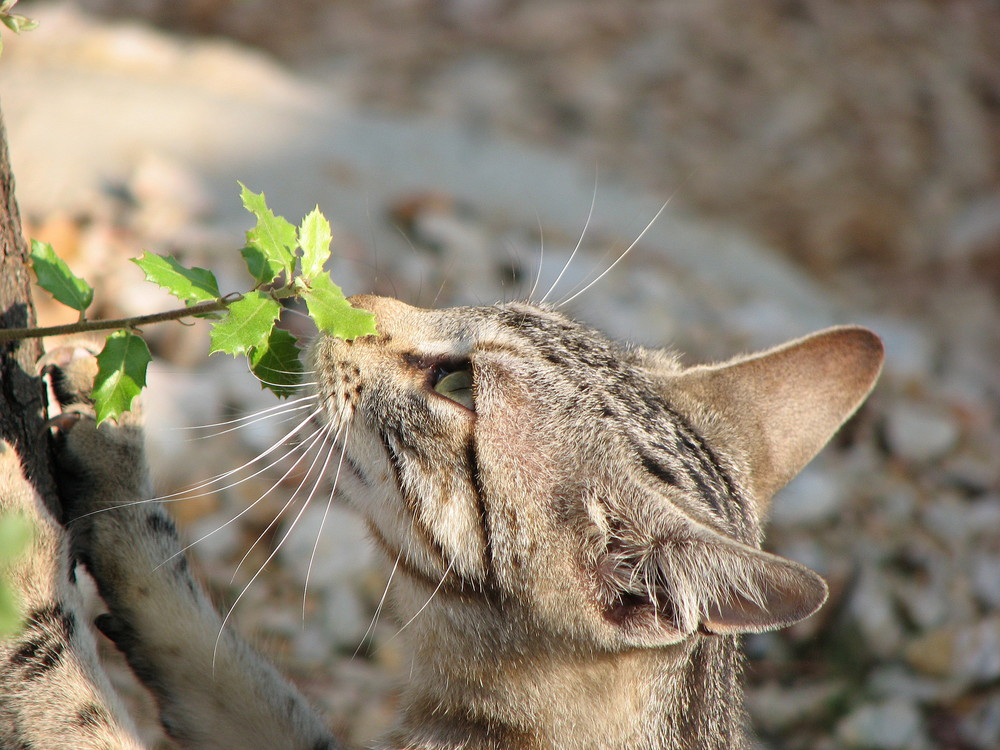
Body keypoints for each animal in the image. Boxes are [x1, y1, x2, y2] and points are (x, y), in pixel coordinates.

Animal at [0, 296, 884, 750]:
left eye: (458, 384)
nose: (352, 299)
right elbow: (215, 657)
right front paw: (114, 464)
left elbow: (69, 699)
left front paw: (17, 542)